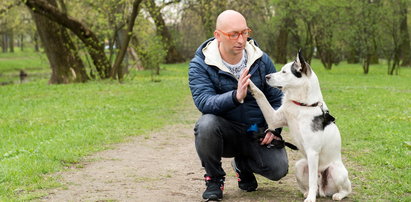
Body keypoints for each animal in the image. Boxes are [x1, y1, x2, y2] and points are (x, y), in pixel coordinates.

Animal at [249, 50, 352, 200]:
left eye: (284, 72)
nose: (267, 76)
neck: (302, 105)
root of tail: (323, 190)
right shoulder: (274, 119)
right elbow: (260, 93)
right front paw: (247, 82)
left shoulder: (312, 152)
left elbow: (312, 179)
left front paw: (311, 199)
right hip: (299, 165)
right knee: (312, 185)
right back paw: (308, 192)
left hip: (336, 171)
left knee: (346, 188)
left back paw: (337, 195)